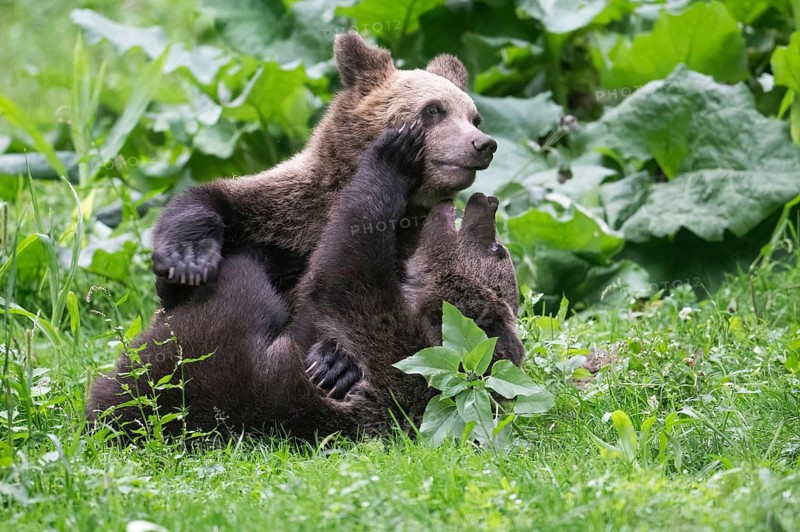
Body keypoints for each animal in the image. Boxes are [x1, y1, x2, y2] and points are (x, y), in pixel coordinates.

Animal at [151, 32, 497, 311]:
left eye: (474, 117)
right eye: (434, 109)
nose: (483, 144)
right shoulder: (287, 211)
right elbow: (216, 201)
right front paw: (187, 258)